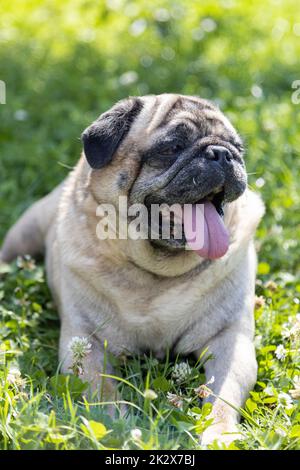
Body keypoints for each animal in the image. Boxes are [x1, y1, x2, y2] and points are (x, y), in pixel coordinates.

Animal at [0, 94, 262, 444]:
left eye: (237, 148)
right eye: (172, 147)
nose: (221, 153)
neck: (157, 272)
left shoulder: (230, 340)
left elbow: (221, 398)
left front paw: (218, 434)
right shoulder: (86, 343)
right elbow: (104, 394)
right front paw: (118, 428)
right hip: (23, 236)